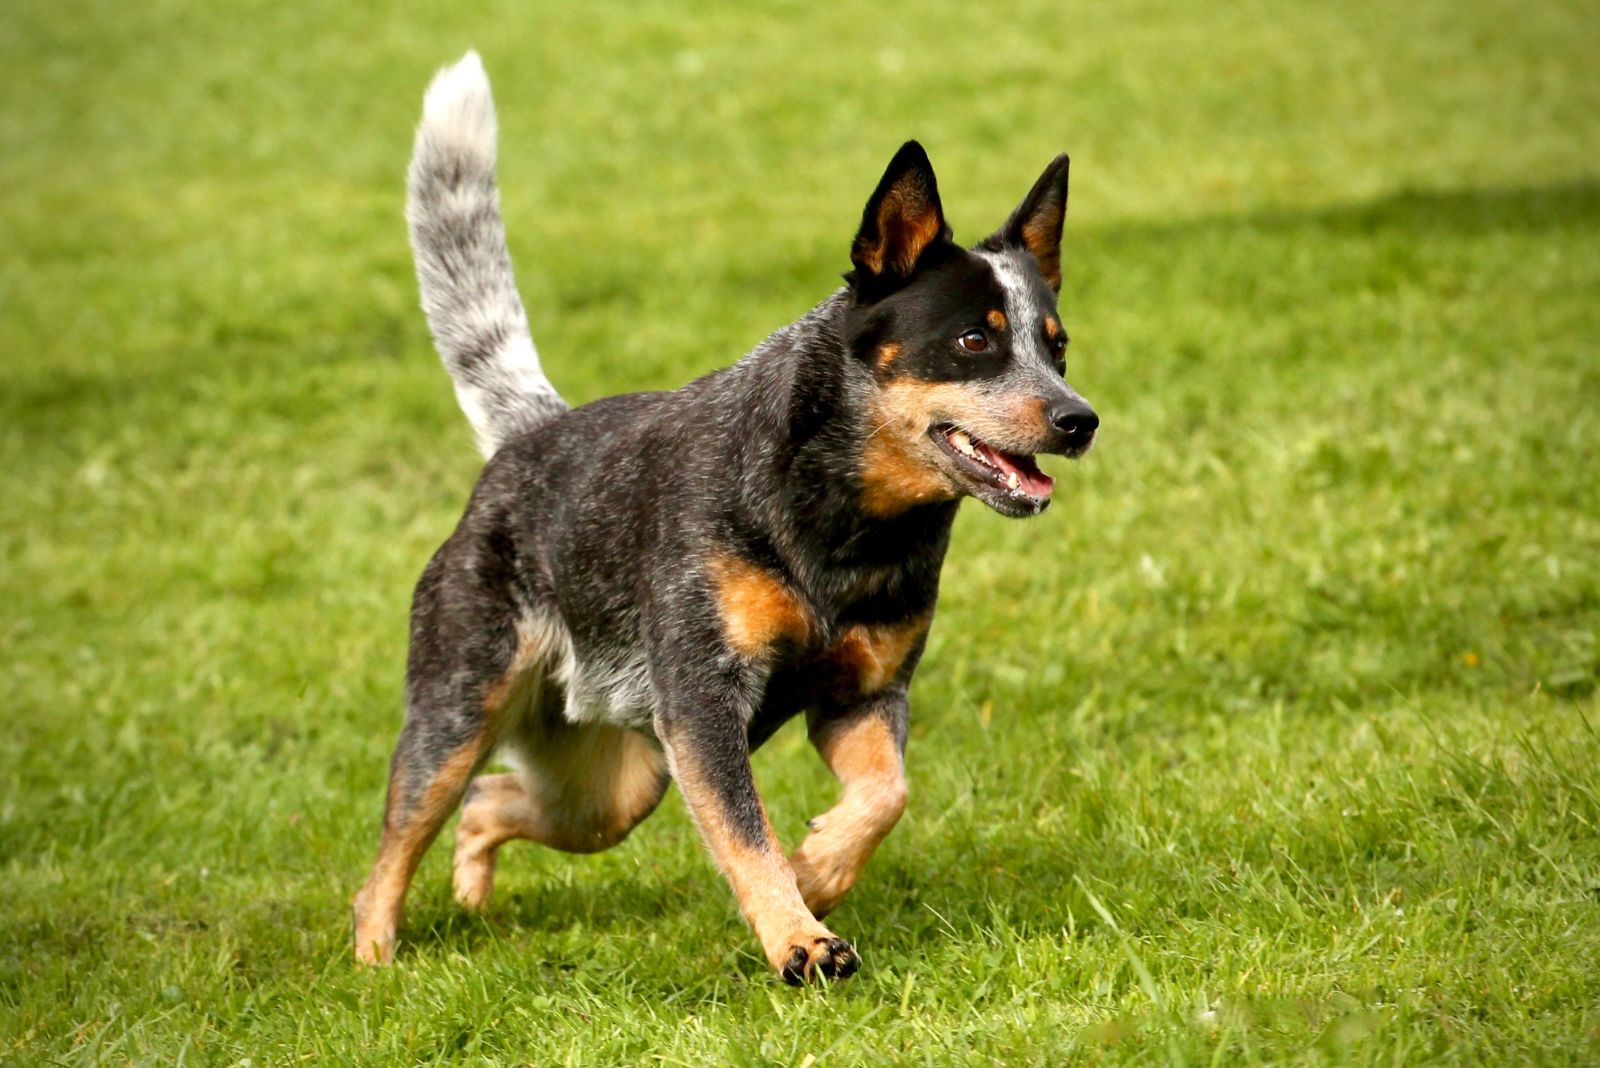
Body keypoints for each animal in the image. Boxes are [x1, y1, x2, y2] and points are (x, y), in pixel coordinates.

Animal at [355, 49, 1094, 984]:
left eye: (1058, 346)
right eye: (974, 340)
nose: (1080, 419)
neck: (846, 522)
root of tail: (530, 436)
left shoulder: (863, 692)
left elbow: (886, 794)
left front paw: (817, 871)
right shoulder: (703, 705)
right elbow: (748, 833)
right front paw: (801, 940)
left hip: (620, 782)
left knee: (494, 801)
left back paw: (472, 891)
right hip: (461, 705)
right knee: (401, 834)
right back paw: (374, 959)